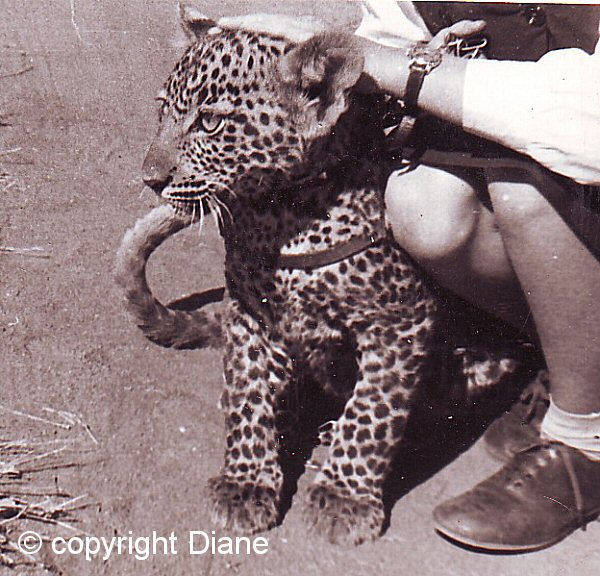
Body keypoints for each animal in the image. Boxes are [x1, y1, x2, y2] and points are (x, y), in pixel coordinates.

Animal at [115, 6, 533, 546]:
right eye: (163, 111)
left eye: (210, 123)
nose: (151, 179)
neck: (280, 216)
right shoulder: (249, 311)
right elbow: (246, 393)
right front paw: (246, 482)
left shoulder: (400, 320)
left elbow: (372, 410)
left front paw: (344, 496)